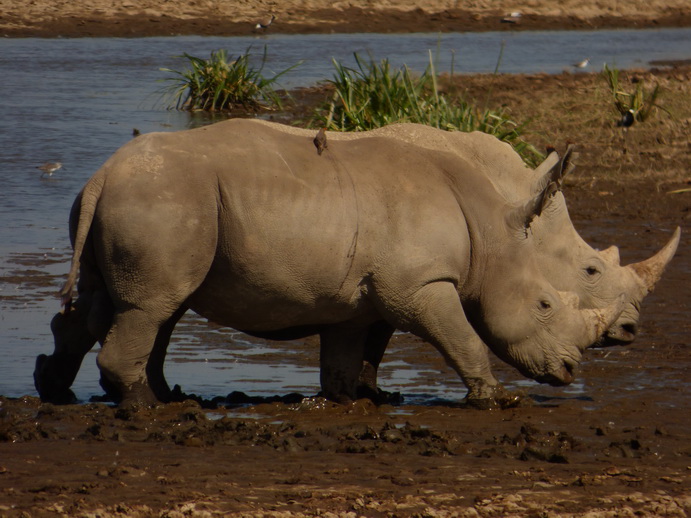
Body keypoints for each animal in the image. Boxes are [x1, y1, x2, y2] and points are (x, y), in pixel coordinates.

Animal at [34, 119, 628, 406]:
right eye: (546, 304)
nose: (569, 370)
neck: (490, 238)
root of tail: (103, 174)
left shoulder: (361, 297)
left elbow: (345, 354)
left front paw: (348, 400)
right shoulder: (421, 285)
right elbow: (463, 337)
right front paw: (496, 400)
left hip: (143, 202)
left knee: (125, 304)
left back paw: (64, 387)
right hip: (164, 200)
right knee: (151, 307)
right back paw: (149, 408)